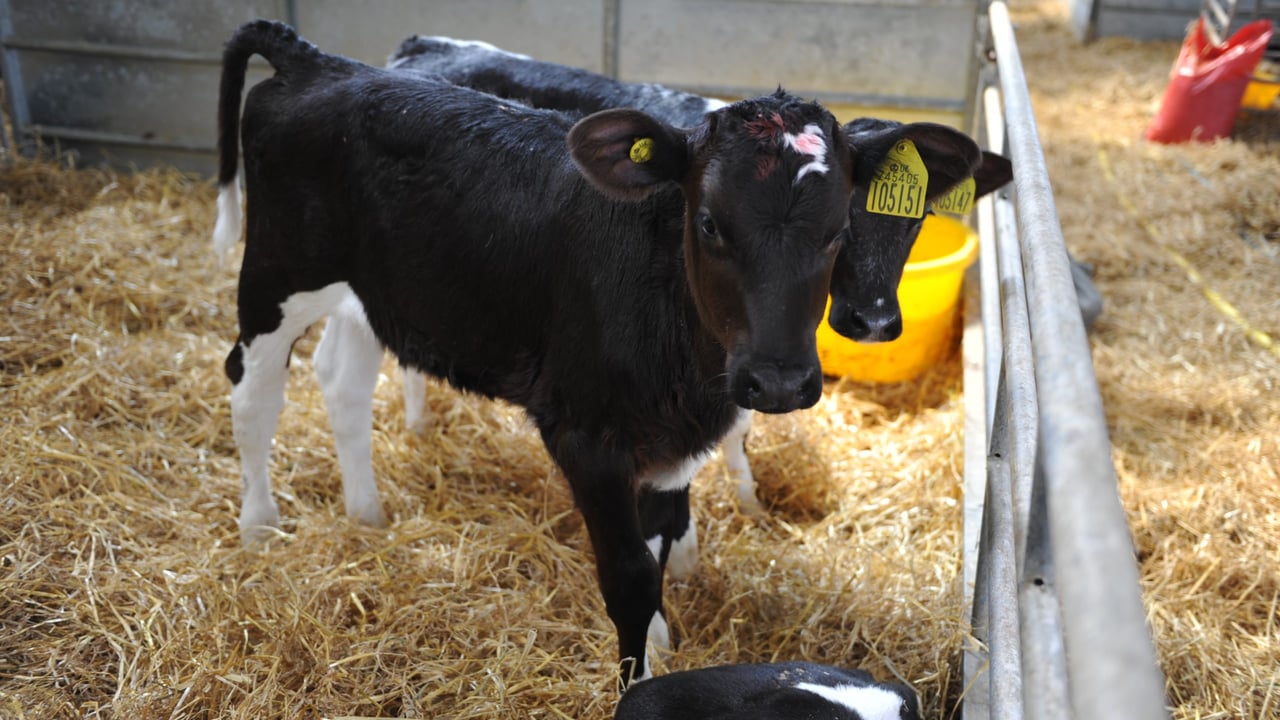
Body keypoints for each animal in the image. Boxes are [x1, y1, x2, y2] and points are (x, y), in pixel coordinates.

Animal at [214, 19, 979, 684]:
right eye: (709, 222)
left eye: (837, 229)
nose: (781, 382)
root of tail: (322, 63)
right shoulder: (585, 436)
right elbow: (631, 574)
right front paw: (636, 679)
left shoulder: (676, 441)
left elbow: (662, 538)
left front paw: (665, 638)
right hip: (276, 274)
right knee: (252, 392)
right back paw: (259, 528)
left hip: (375, 291)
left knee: (343, 384)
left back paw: (367, 516)